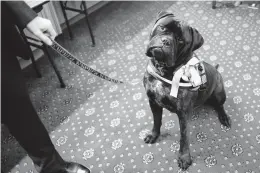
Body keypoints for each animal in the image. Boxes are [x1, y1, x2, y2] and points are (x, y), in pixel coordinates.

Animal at [142, 11, 232, 171]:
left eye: (180, 40)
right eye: (162, 28)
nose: (165, 41)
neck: (165, 70)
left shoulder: (183, 114)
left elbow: (183, 137)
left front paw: (184, 158)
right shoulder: (153, 102)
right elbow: (156, 121)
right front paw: (153, 135)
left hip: (219, 93)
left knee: (219, 105)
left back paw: (224, 117)